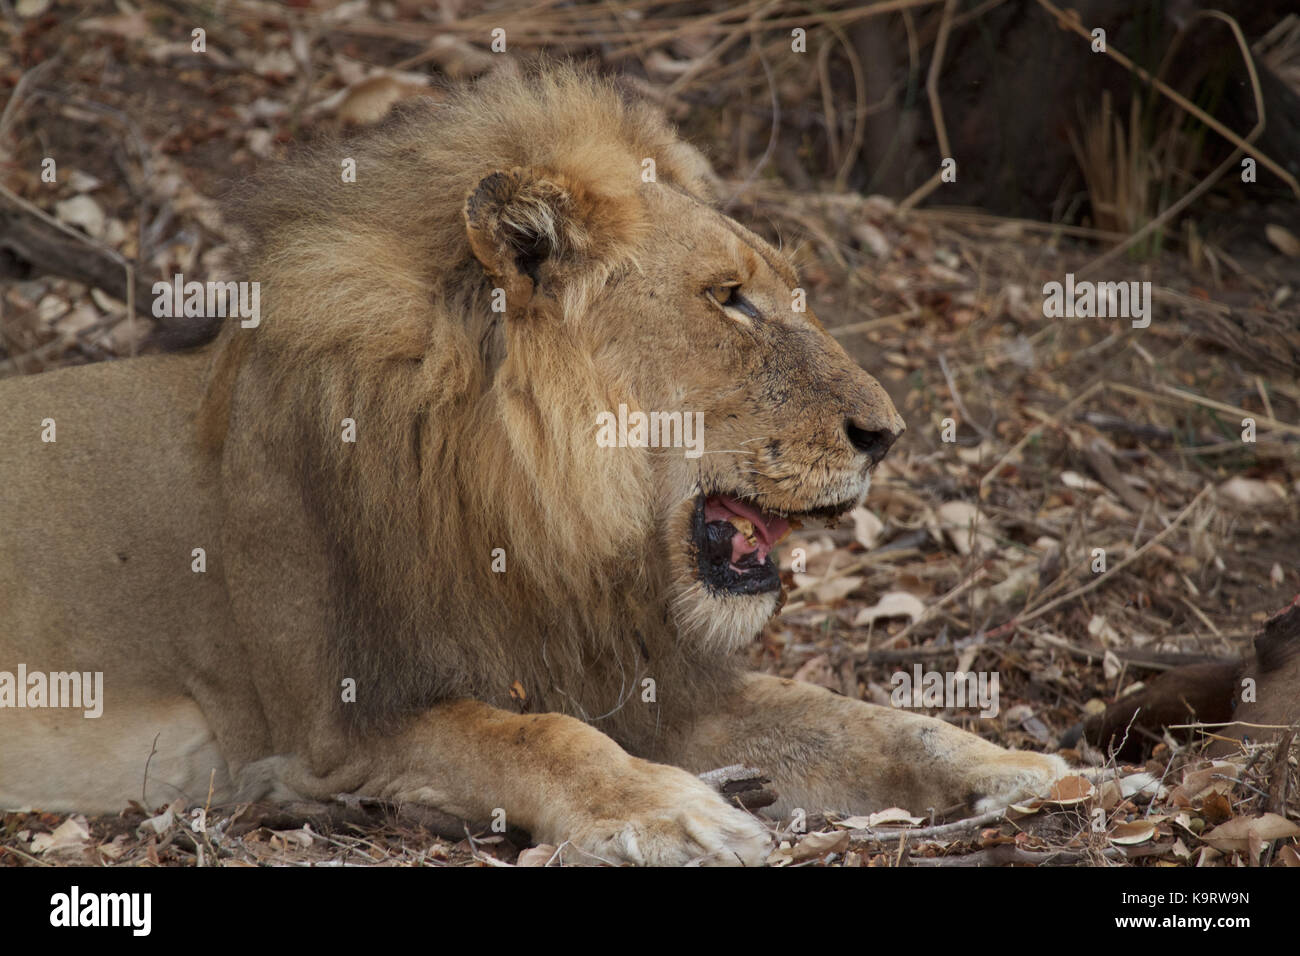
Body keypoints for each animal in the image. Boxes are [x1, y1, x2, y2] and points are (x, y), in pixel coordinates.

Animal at [2, 61, 1066, 868]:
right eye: (729, 300)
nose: (887, 434)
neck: (543, 520)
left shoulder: (639, 677)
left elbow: (853, 716)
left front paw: (1027, 770)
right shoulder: (330, 731)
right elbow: (532, 735)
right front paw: (673, 813)